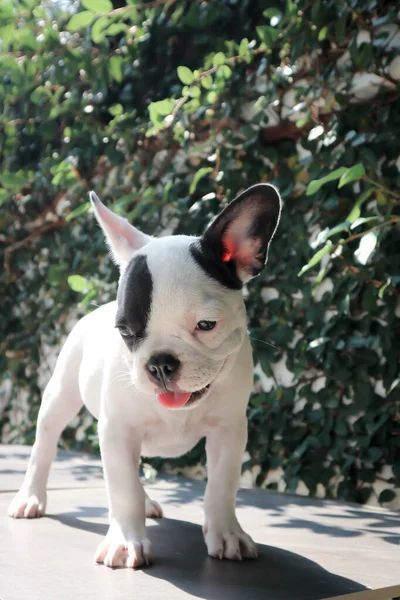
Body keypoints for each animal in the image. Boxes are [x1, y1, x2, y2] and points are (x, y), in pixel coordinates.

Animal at [7, 183, 282, 568]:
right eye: (125, 331)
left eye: (207, 325)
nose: (161, 363)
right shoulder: (118, 431)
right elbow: (122, 489)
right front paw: (125, 540)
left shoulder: (229, 431)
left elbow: (221, 487)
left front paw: (227, 534)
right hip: (59, 397)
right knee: (44, 446)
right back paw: (31, 496)